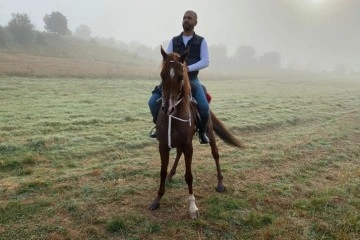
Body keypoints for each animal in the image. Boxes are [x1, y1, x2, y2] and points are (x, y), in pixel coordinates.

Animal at [148, 46, 245, 218]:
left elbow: (189, 175)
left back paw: (220, 183)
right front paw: (157, 199)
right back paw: (171, 175)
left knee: (215, 153)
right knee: (178, 154)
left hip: (208, 131)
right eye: (161, 75)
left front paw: (193, 207)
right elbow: (162, 172)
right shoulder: (164, 145)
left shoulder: (189, 146)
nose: (167, 108)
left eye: (180, 77)